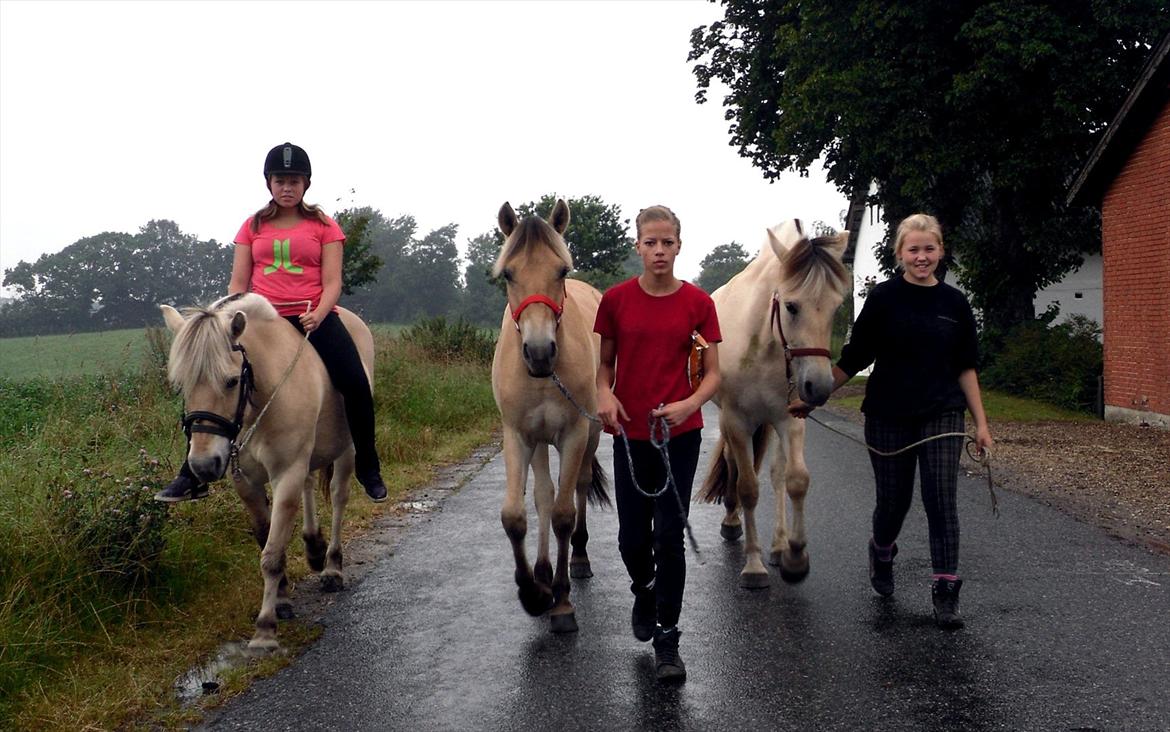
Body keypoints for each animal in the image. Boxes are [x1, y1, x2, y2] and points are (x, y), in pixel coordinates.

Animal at [491, 196, 613, 631]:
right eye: (508, 274)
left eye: (561, 270)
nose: (540, 352)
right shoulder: (518, 435)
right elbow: (516, 514)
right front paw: (533, 592)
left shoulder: (574, 433)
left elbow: (563, 513)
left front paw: (559, 600)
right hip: (540, 440)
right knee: (543, 493)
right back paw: (543, 571)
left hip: (589, 434)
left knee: (577, 486)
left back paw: (577, 559)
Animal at [692, 217, 851, 587]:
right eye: (791, 306)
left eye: (837, 306)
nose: (819, 387)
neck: (765, 344)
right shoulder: (736, 422)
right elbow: (748, 486)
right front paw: (753, 565)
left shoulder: (790, 419)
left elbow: (795, 480)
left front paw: (795, 556)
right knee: (734, 467)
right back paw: (732, 521)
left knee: (777, 474)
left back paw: (778, 546)